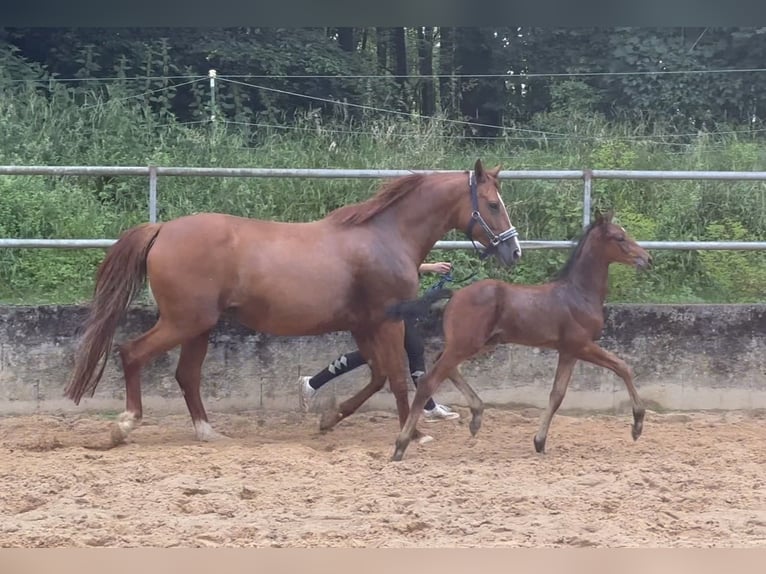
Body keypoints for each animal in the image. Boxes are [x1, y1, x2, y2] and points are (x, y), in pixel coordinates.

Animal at [66, 160, 524, 448]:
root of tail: (161, 229)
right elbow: (395, 377)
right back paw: (125, 425)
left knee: (186, 376)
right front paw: (415, 433)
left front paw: (328, 418)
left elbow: (377, 375)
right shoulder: (386, 321)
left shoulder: (363, 324)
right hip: (184, 321)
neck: (384, 236)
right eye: (493, 204)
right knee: (131, 353)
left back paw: (208, 432)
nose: (514, 251)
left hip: (198, 326)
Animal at [390, 212, 656, 464]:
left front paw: (539, 441)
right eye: (619, 237)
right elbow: (623, 367)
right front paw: (637, 425)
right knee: (429, 381)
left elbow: (557, 394)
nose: (647, 259)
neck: (578, 294)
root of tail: (455, 295)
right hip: (467, 344)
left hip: (478, 344)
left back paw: (476, 416)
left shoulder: (567, 351)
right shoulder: (581, 345)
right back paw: (401, 445)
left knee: (442, 364)